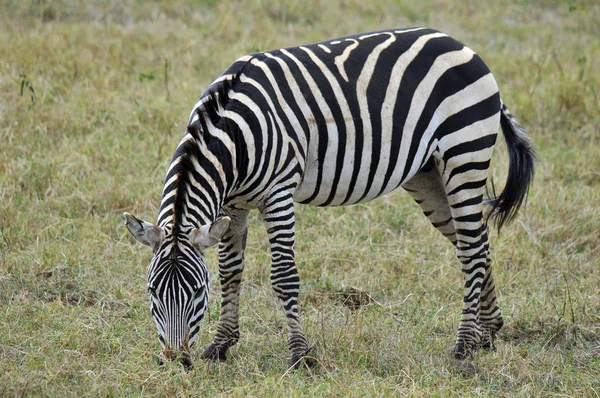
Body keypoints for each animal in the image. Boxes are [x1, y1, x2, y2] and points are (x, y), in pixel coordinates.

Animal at [123, 27, 536, 370]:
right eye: (152, 292)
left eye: (196, 293)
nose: (176, 361)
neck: (233, 134)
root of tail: (462, 46)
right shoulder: (232, 205)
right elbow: (230, 271)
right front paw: (221, 345)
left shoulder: (278, 193)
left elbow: (283, 276)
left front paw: (299, 355)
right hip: (428, 175)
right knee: (476, 243)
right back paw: (488, 332)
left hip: (464, 154)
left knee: (472, 250)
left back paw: (464, 345)